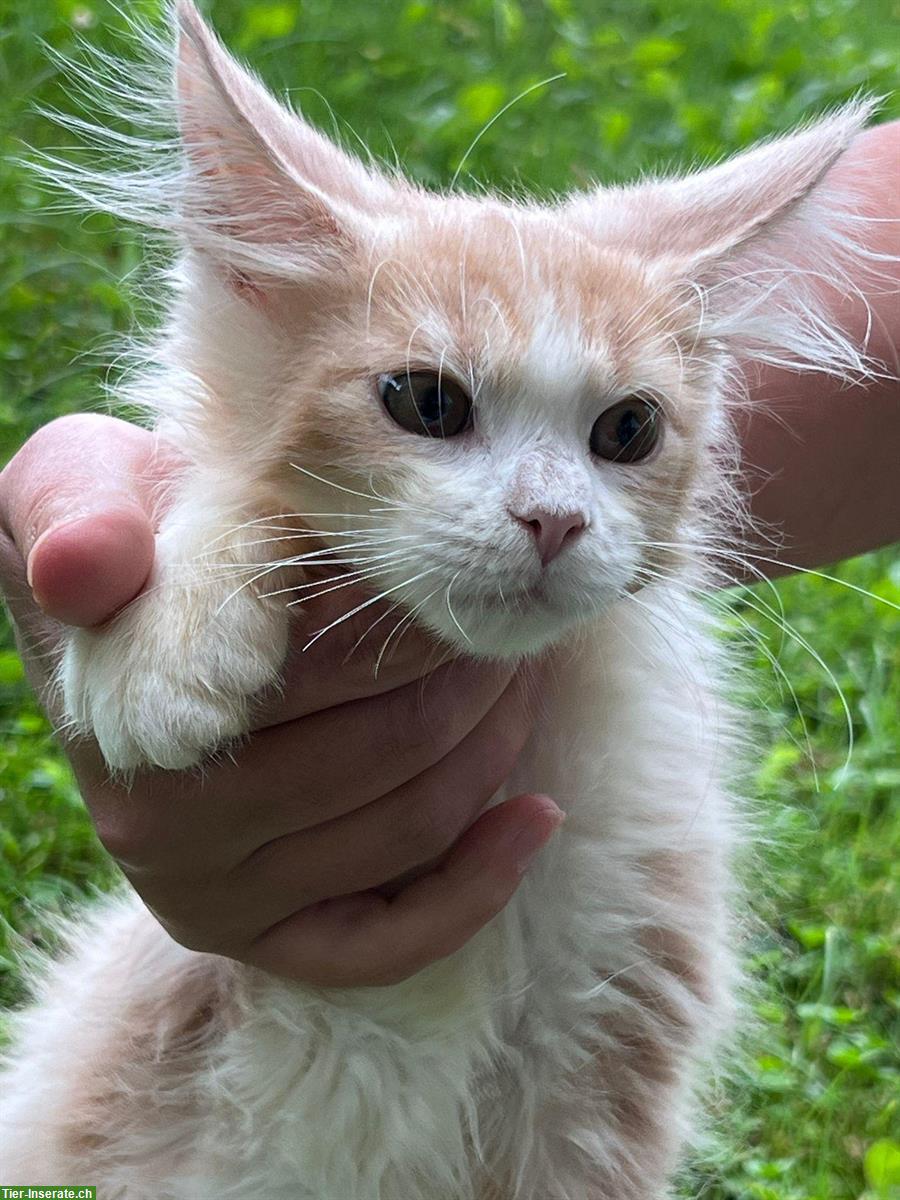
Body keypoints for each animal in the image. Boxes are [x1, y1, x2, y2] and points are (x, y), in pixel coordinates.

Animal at [0, 4, 878, 1195]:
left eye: (628, 430)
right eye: (426, 404)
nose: (554, 520)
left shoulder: (608, 1062)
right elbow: (244, 486)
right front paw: (171, 638)